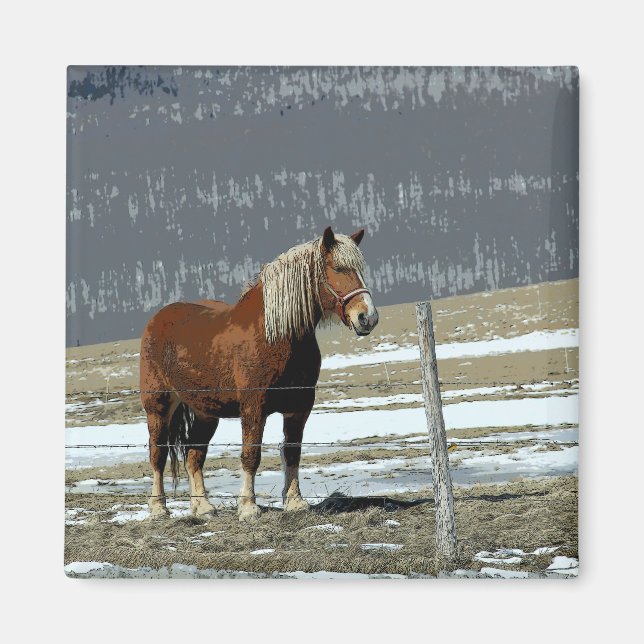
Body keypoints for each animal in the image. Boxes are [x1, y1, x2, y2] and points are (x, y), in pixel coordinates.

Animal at [139, 226, 379, 522]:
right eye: (338, 267)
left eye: (360, 269)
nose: (367, 317)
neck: (275, 336)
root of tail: (158, 318)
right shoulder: (254, 408)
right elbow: (251, 455)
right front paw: (248, 507)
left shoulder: (299, 408)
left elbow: (293, 452)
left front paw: (295, 502)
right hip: (158, 405)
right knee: (158, 454)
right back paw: (158, 508)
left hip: (205, 411)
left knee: (194, 454)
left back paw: (203, 507)